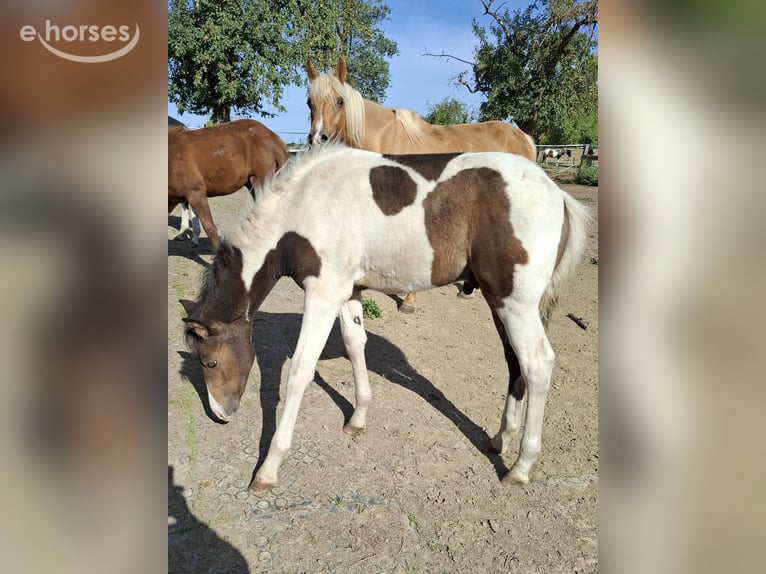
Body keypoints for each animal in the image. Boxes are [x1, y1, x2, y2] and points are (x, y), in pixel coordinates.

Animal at [180, 144, 591, 492]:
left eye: (210, 361)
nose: (221, 414)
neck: (305, 207)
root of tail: (558, 194)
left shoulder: (322, 294)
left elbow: (300, 369)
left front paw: (268, 468)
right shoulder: (347, 291)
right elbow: (354, 344)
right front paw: (358, 417)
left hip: (515, 303)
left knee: (537, 364)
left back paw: (521, 467)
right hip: (502, 303)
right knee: (514, 362)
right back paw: (501, 438)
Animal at [306, 57, 538, 314]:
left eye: (340, 101)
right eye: (309, 102)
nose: (318, 139)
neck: (386, 139)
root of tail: (523, 137)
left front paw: (408, 301)